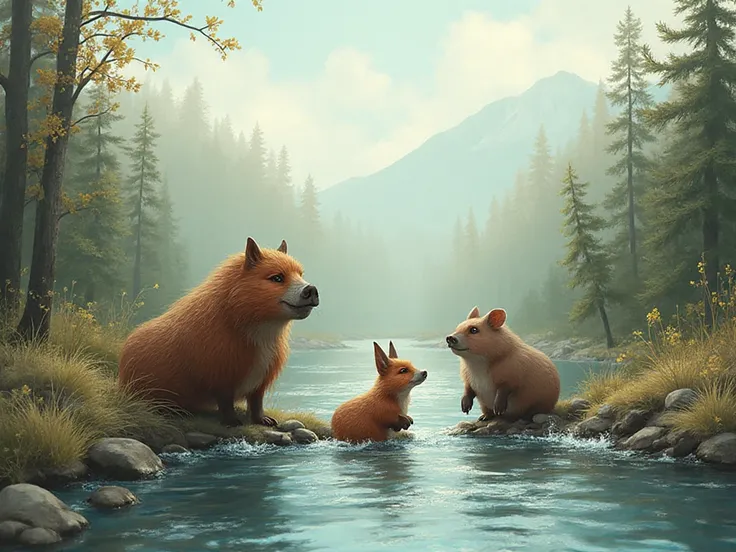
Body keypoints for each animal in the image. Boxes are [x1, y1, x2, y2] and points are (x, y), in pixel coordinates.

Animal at [118, 237, 319, 427]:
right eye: (277, 278)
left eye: (300, 274)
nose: (311, 289)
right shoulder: (221, 376)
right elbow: (225, 402)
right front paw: (232, 422)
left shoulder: (260, 380)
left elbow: (256, 402)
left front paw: (263, 420)